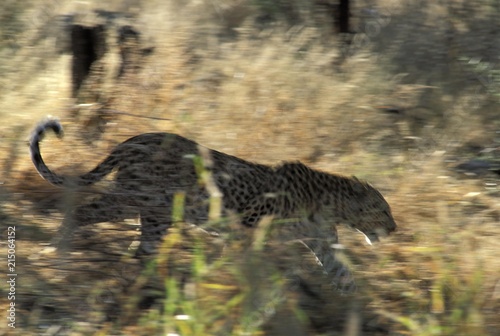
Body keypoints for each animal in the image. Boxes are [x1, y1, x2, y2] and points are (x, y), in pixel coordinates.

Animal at [30, 118, 398, 294]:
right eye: (382, 209)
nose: (394, 228)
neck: (331, 202)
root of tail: (132, 139)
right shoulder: (246, 228)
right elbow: (239, 263)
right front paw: (227, 282)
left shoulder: (321, 242)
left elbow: (343, 274)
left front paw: (354, 307)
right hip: (131, 199)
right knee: (83, 211)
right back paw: (57, 252)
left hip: (156, 215)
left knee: (141, 250)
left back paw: (150, 282)